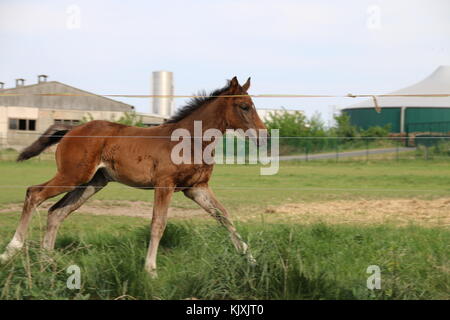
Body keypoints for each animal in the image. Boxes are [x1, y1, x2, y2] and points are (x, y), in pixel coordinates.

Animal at [0, 77, 268, 278]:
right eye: (244, 106)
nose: (264, 136)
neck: (190, 140)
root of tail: (72, 128)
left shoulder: (196, 187)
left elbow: (225, 216)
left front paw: (252, 261)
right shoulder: (165, 184)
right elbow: (158, 224)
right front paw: (150, 270)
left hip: (92, 183)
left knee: (57, 212)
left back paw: (47, 263)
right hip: (72, 175)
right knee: (34, 194)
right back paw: (11, 251)